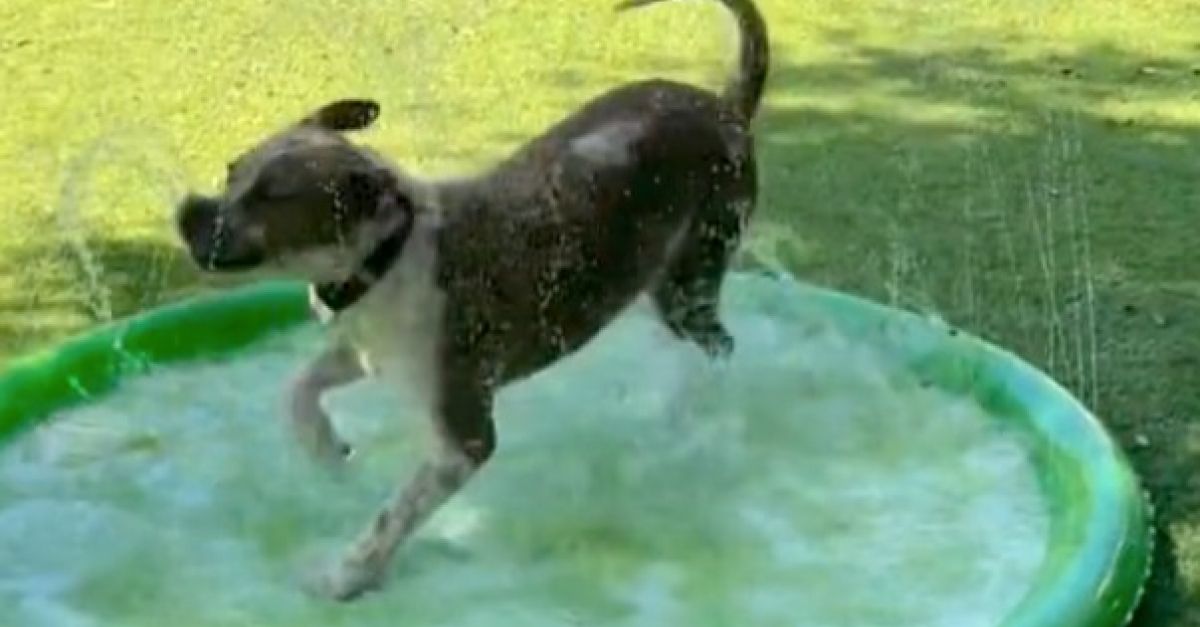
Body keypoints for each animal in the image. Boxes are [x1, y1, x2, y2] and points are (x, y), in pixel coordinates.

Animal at [175, 0, 772, 600]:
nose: (186, 210)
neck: (386, 257)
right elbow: (296, 389)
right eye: (231, 170)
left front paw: (345, 577)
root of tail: (725, 106)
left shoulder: (462, 441)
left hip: (689, 281)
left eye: (271, 196)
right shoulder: (367, 352)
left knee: (718, 347)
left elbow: (391, 515)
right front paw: (328, 454)